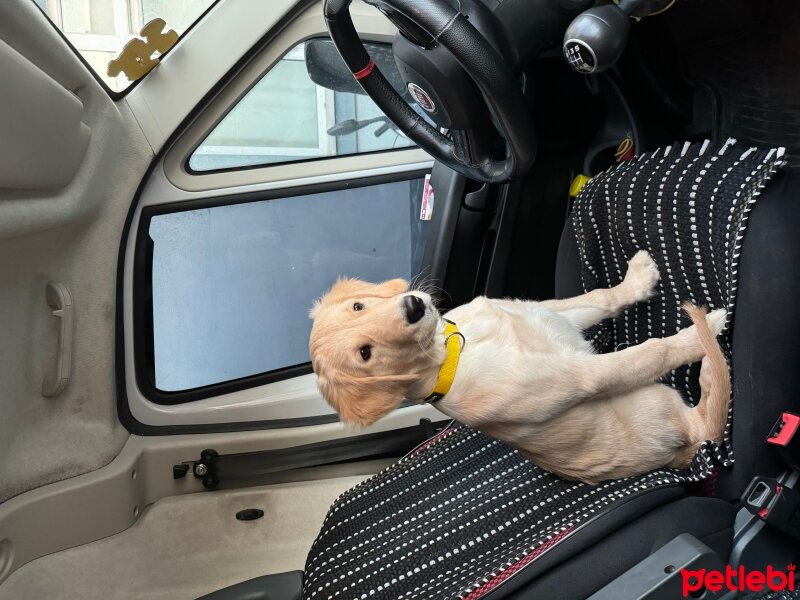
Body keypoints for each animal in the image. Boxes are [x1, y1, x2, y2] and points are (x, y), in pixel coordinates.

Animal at [310, 251, 732, 486]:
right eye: (365, 353)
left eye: (358, 306)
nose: (414, 306)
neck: (457, 349)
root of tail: (683, 452)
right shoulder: (584, 375)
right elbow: (650, 352)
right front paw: (698, 335)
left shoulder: (548, 313)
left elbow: (601, 297)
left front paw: (638, 279)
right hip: (658, 408)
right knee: (705, 419)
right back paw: (708, 359)